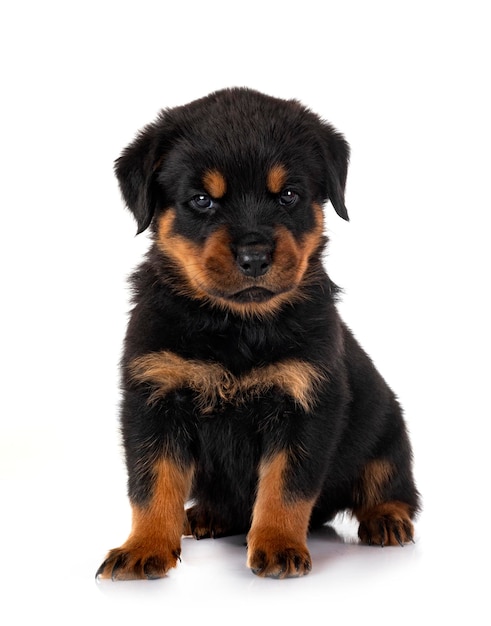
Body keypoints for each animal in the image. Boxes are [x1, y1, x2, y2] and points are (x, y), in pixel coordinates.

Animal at [96, 88, 418, 580]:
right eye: (202, 200)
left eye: (288, 195)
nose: (254, 256)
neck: (236, 325)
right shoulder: (153, 400)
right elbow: (152, 485)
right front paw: (143, 547)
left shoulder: (305, 403)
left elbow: (285, 488)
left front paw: (278, 545)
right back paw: (205, 515)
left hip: (387, 430)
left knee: (391, 485)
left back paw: (387, 519)